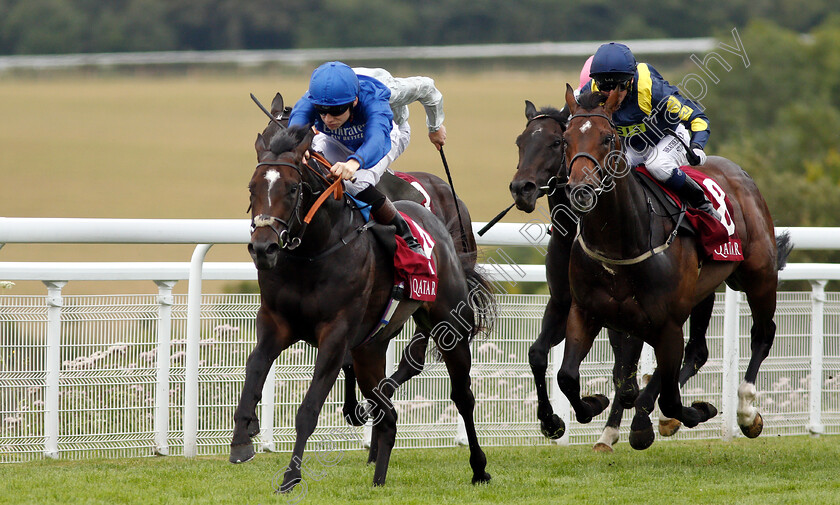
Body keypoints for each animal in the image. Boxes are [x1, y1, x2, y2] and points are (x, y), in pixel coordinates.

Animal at [230, 123, 492, 488]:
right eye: (252, 188)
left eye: (293, 188)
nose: (263, 248)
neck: (312, 254)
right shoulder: (275, 324)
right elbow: (253, 372)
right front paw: (242, 440)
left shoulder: (335, 334)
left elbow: (308, 409)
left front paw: (291, 476)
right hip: (371, 347)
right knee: (388, 412)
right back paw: (378, 478)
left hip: (449, 326)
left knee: (462, 396)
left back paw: (479, 467)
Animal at [508, 98, 720, 448]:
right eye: (520, 142)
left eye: (554, 142)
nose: (521, 188)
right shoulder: (566, 303)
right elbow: (538, 355)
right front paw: (552, 422)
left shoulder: (626, 314)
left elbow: (624, 373)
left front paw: (617, 421)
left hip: (698, 296)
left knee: (691, 351)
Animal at [556, 85, 792, 444]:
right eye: (565, 139)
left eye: (607, 138)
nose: (580, 190)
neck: (622, 241)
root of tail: (741, 174)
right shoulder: (587, 311)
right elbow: (569, 376)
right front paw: (595, 404)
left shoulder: (666, 323)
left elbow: (667, 396)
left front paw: (697, 411)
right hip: (703, 290)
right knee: (696, 352)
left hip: (759, 276)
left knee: (763, 335)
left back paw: (747, 412)